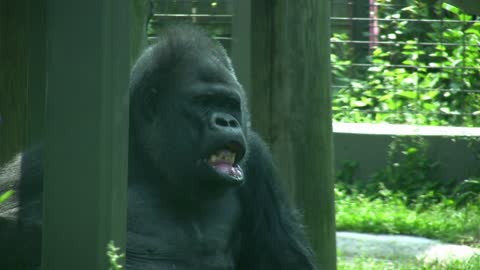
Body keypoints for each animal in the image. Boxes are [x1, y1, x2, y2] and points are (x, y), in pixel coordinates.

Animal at [0, 25, 318, 270]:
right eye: (203, 102)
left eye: (230, 104)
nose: (227, 122)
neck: (153, 164)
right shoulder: (42, 167)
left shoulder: (259, 161)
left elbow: (286, 260)